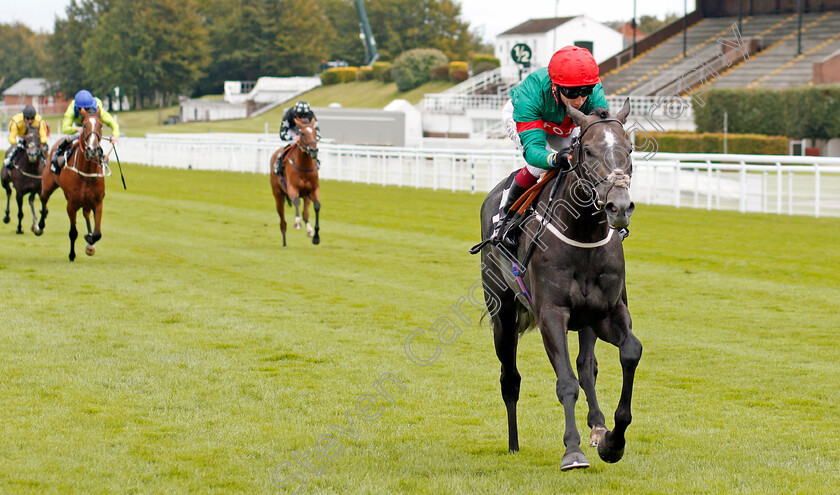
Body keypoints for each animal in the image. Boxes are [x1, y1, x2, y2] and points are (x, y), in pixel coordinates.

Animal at [39, 109, 107, 262]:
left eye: (100, 125)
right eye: (84, 125)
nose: (92, 149)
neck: (86, 172)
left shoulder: (98, 202)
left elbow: (98, 233)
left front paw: (90, 240)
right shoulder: (71, 204)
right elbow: (73, 232)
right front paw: (72, 254)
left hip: (87, 202)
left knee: (86, 214)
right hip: (48, 185)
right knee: (43, 199)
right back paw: (39, 226)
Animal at [270, 116, 320, 248]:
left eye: (315, 132)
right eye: (302, 133)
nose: (314, 150)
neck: (304, 165)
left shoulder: (312, 190)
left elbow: (316, 207)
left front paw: (316, 236)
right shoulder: (292, 188)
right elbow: (296, 201)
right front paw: (297, 223)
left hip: (305, 195)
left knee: (305, 213)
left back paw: (309, 230)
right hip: (278, 194)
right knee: (282, 220)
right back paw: (284, 243)